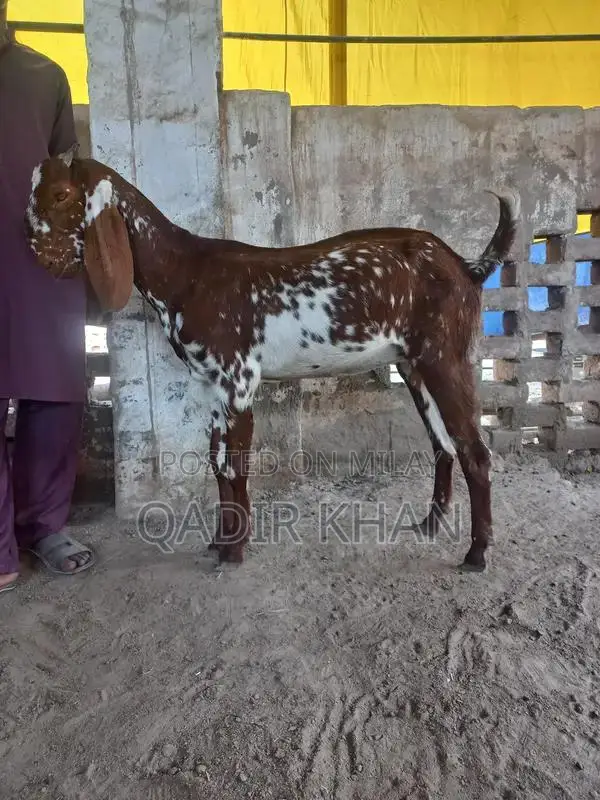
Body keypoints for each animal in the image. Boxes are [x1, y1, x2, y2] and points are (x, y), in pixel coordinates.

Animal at [25, 143, 519, 571]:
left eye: (62, 194)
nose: (39, 255)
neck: (185, 272)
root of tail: (466, 265)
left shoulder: (238, 379)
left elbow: (233, 464)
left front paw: (235, 549)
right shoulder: (212, 385)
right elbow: (215, 463)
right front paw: (219, 541)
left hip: (446, 356)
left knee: (475, 451)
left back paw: (477, 553)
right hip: (413, 364)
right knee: (442, 444)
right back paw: (430, 524)